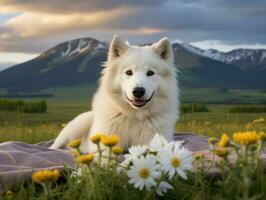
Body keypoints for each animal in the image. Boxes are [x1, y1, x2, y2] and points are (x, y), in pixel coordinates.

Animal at [50, 35, 179, 152]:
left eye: (150, 73)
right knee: (54, 146)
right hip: (74, 129)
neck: (134, 117)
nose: (138, 91)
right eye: (128, 72)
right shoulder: (105, 144)